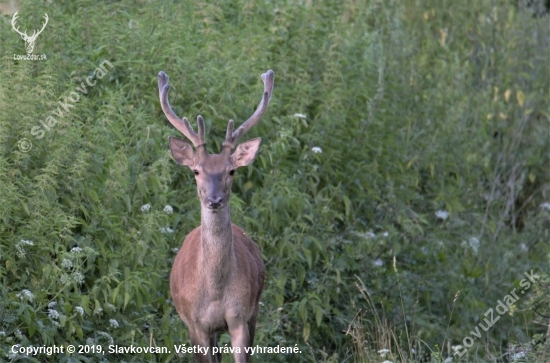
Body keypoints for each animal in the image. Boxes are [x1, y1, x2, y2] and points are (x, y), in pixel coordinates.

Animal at [157, 69, 274, 363]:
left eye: (231, 171)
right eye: (196, 170)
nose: (214, 200)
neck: (216, 293)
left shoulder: (241, 317)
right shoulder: (195, 324)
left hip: (254, 309)